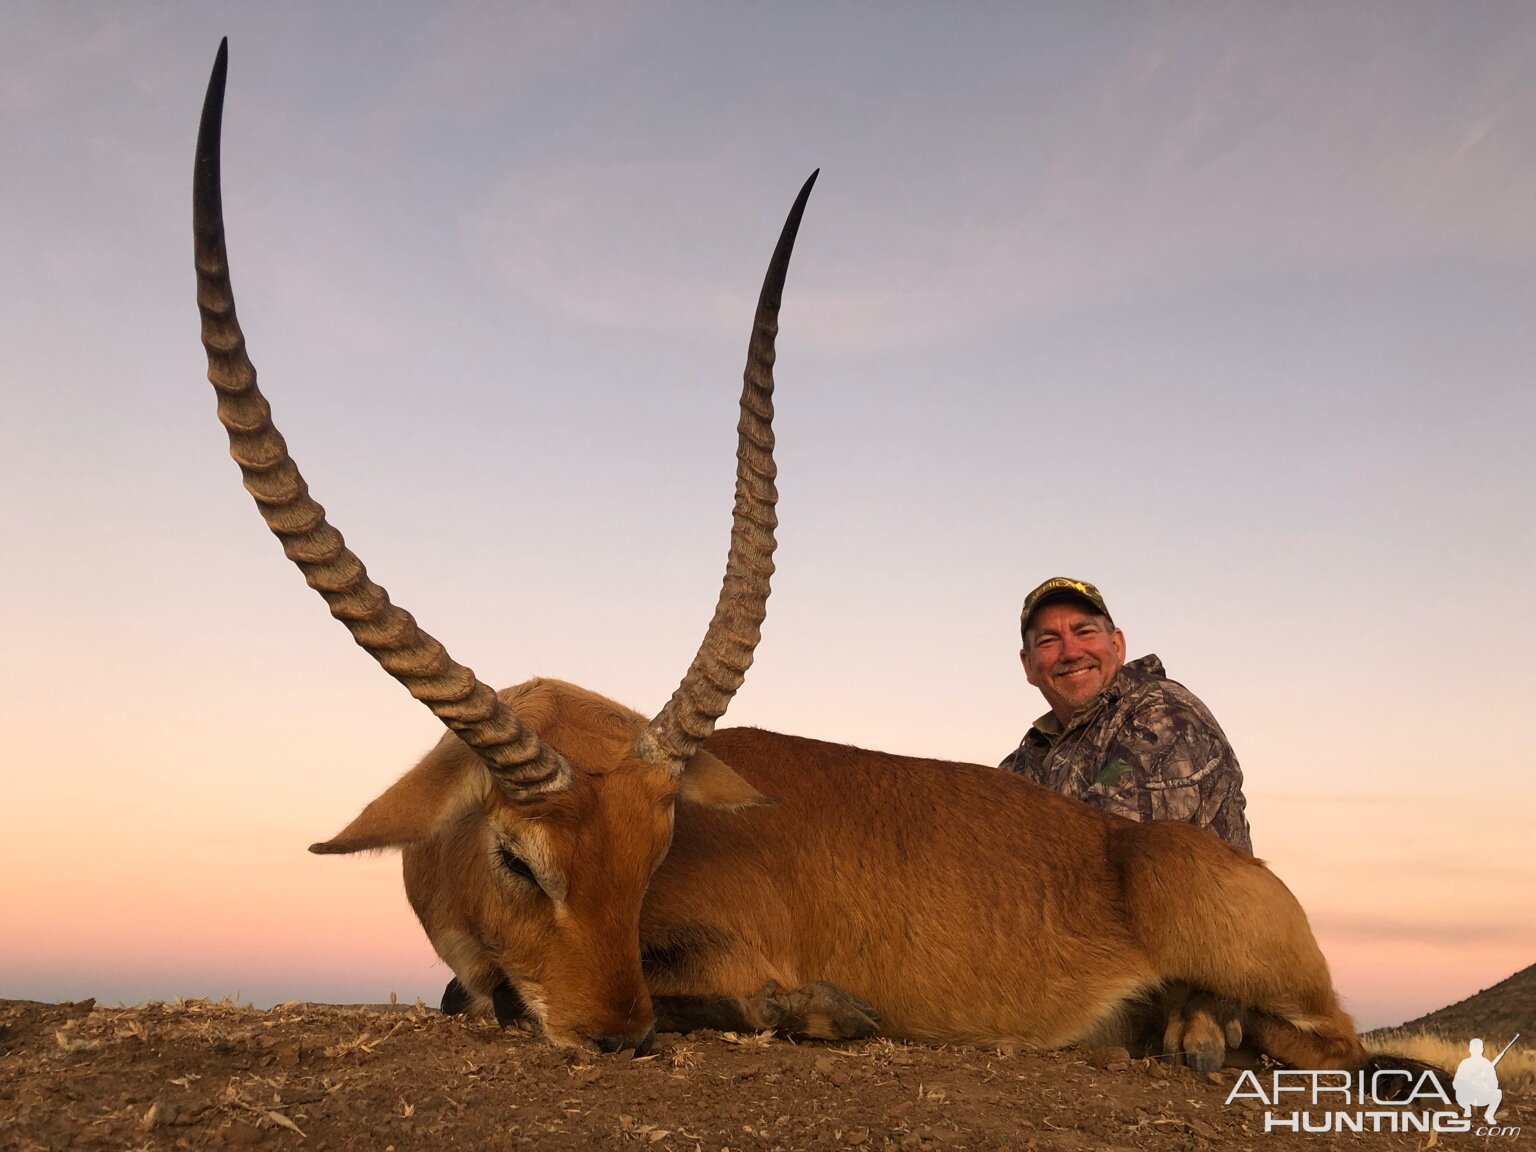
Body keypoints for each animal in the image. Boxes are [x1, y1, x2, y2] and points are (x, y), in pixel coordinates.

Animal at [192, 42, 1370, 1075]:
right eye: (518, 857)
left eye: (657, 854)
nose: (617, 1037)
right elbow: (468, 992)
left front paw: (820, 1010)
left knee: (1331, 1040)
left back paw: (1199, 1033)